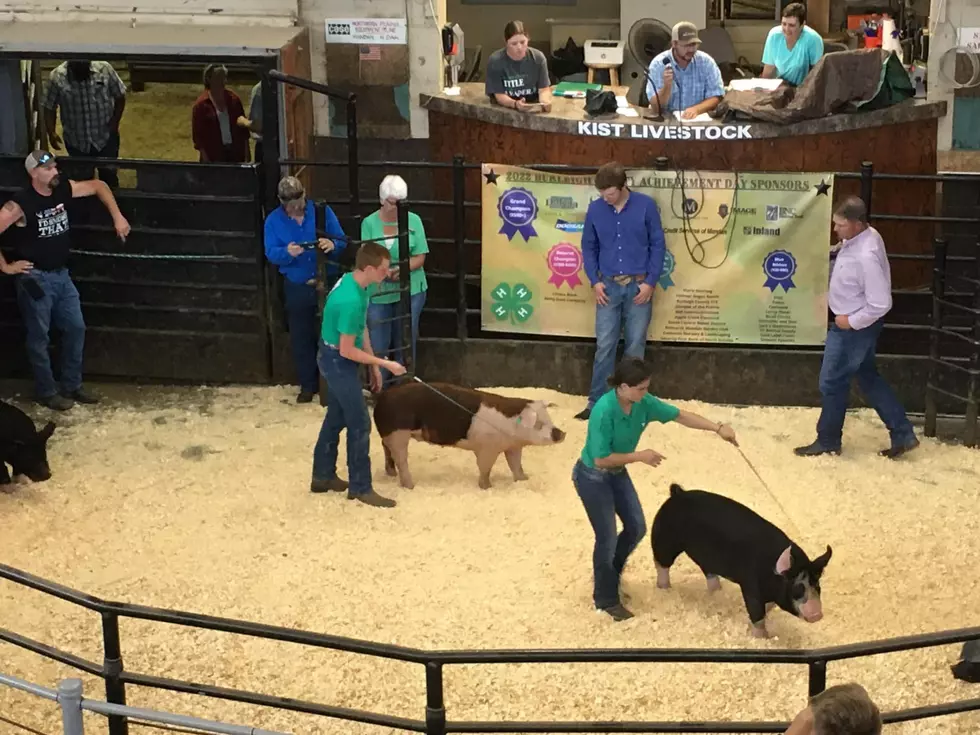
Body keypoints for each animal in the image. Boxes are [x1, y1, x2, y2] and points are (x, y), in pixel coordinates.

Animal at [372, 382, 568, 492]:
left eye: (549, 419)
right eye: (539, 424)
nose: (561, 433)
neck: (511, 426)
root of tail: (381, 397)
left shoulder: (513, 447)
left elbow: (515, 465)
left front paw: (524, 479)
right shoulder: (487, 448)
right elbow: (484, 467)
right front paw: (487, 487)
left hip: (389, 436)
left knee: (387, 451)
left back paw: (391, 474)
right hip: (398, 434)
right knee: (401, 459)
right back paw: (410, 486)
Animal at [652, 484, 836, 640]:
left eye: (817, 586)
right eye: (798, 588)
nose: (817, 615)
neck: (770, 571)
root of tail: (677, 493)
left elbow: (768, 608)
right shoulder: (750, 586)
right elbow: (757, 613)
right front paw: (763, 638)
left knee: (708, 572)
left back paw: (716, 591)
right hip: (664, 539)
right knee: (661, 563)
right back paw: (665, 588)